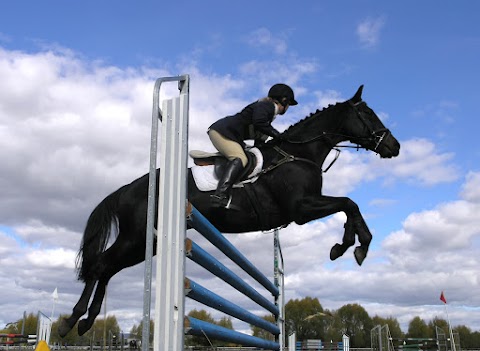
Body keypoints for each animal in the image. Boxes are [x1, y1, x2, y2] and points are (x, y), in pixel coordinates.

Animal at [57, 85, 402, 338]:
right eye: (368, 114)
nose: (394, 147)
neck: (298, 153)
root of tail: (129, 187)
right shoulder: (301, 209)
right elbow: (348, 202)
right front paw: (352, 246)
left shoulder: (304, 208)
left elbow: (349, 205)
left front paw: (348, 246)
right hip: (136, 236)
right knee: (101, 265)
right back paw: (72, 320)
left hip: (147, 242)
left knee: (107, 268)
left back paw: (85, 321)